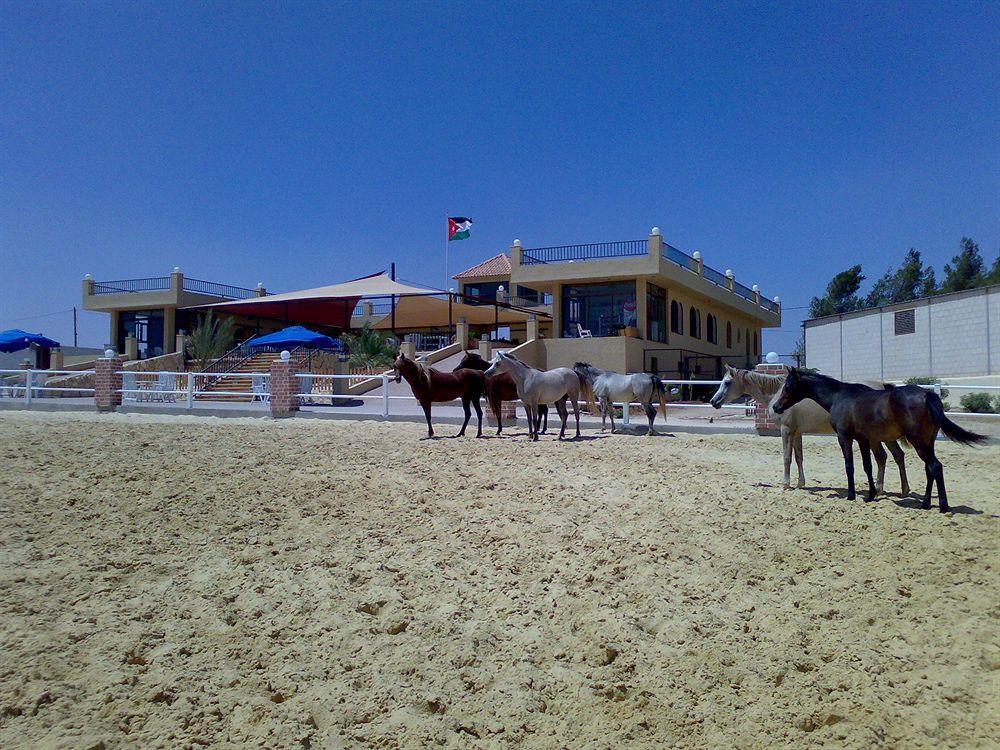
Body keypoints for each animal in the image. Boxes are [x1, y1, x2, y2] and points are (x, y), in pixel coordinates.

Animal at [708, 362, 912, 494]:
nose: (713, 401)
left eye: (727, 382)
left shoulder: (786, 431)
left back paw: (879, 489)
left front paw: (785, 485)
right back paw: (901, 489)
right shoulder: (797, 433)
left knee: (883, 457)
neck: (777, 394)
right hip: (885, 435)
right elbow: (799, 458)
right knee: (896, 456)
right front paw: (800, 484)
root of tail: (883, 386)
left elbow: (787, 458)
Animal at [768, 368, 988, 516]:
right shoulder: (863, 439)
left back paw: (942, 507)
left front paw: (852, 495)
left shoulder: (845, 437)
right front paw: (871, 494)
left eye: (788, 386)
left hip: (919, 443)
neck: (839, 397)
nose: (776, 407)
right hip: (926, 443)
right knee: (930, 469)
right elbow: (868, 466)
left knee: (935, 467)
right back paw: (926, 504)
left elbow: (850, 466)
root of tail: (927, 394)